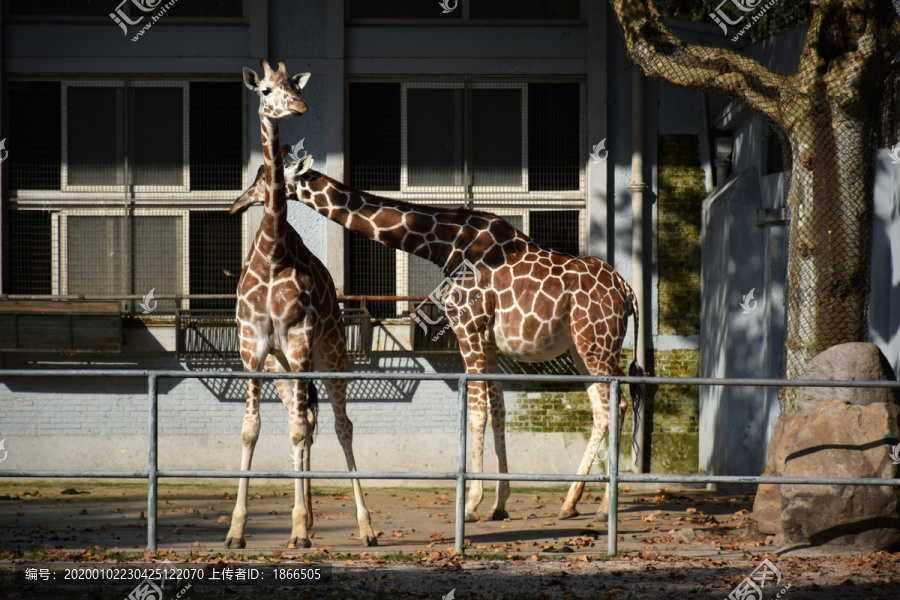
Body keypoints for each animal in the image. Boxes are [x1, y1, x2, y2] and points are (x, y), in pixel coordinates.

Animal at [229, 62, 376, 548]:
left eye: (294, 85)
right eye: (266, 89)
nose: (299, 106)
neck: (274, 254)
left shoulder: (297, 341)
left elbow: (300, 428)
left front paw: (296, 529)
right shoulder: (252, 349)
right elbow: (252, 429)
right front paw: (236, 530)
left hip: (329, 355)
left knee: (340, 425)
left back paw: (364, 527)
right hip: (284, 366)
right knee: (305, 420)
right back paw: (310, 517)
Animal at [230, 156, 640, 524]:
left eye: (266, 177)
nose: (237, 203)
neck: (444, 244)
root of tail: (628, 292)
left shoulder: (468, 328)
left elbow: (476, 413)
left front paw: (471, 503)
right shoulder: (488, 342)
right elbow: (497, 412)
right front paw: (499, 503)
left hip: (597, 345)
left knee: (614, 407)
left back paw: (603, 507)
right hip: (580, 350)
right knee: (602, 410)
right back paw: (571, 503)